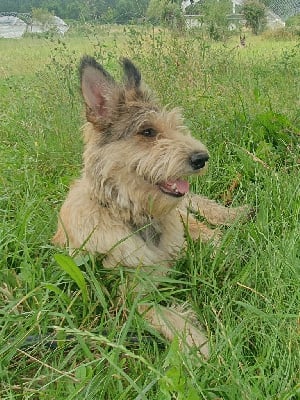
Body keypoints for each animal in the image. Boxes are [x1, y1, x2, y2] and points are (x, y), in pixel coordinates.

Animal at [52, 55, 250, 356]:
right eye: (147, 131)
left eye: (176, 126)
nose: (202, 158)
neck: (133, 214)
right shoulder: (128, 297)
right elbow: (162, 315)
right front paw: (199, 346)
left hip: (187, 218)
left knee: (211, 228)